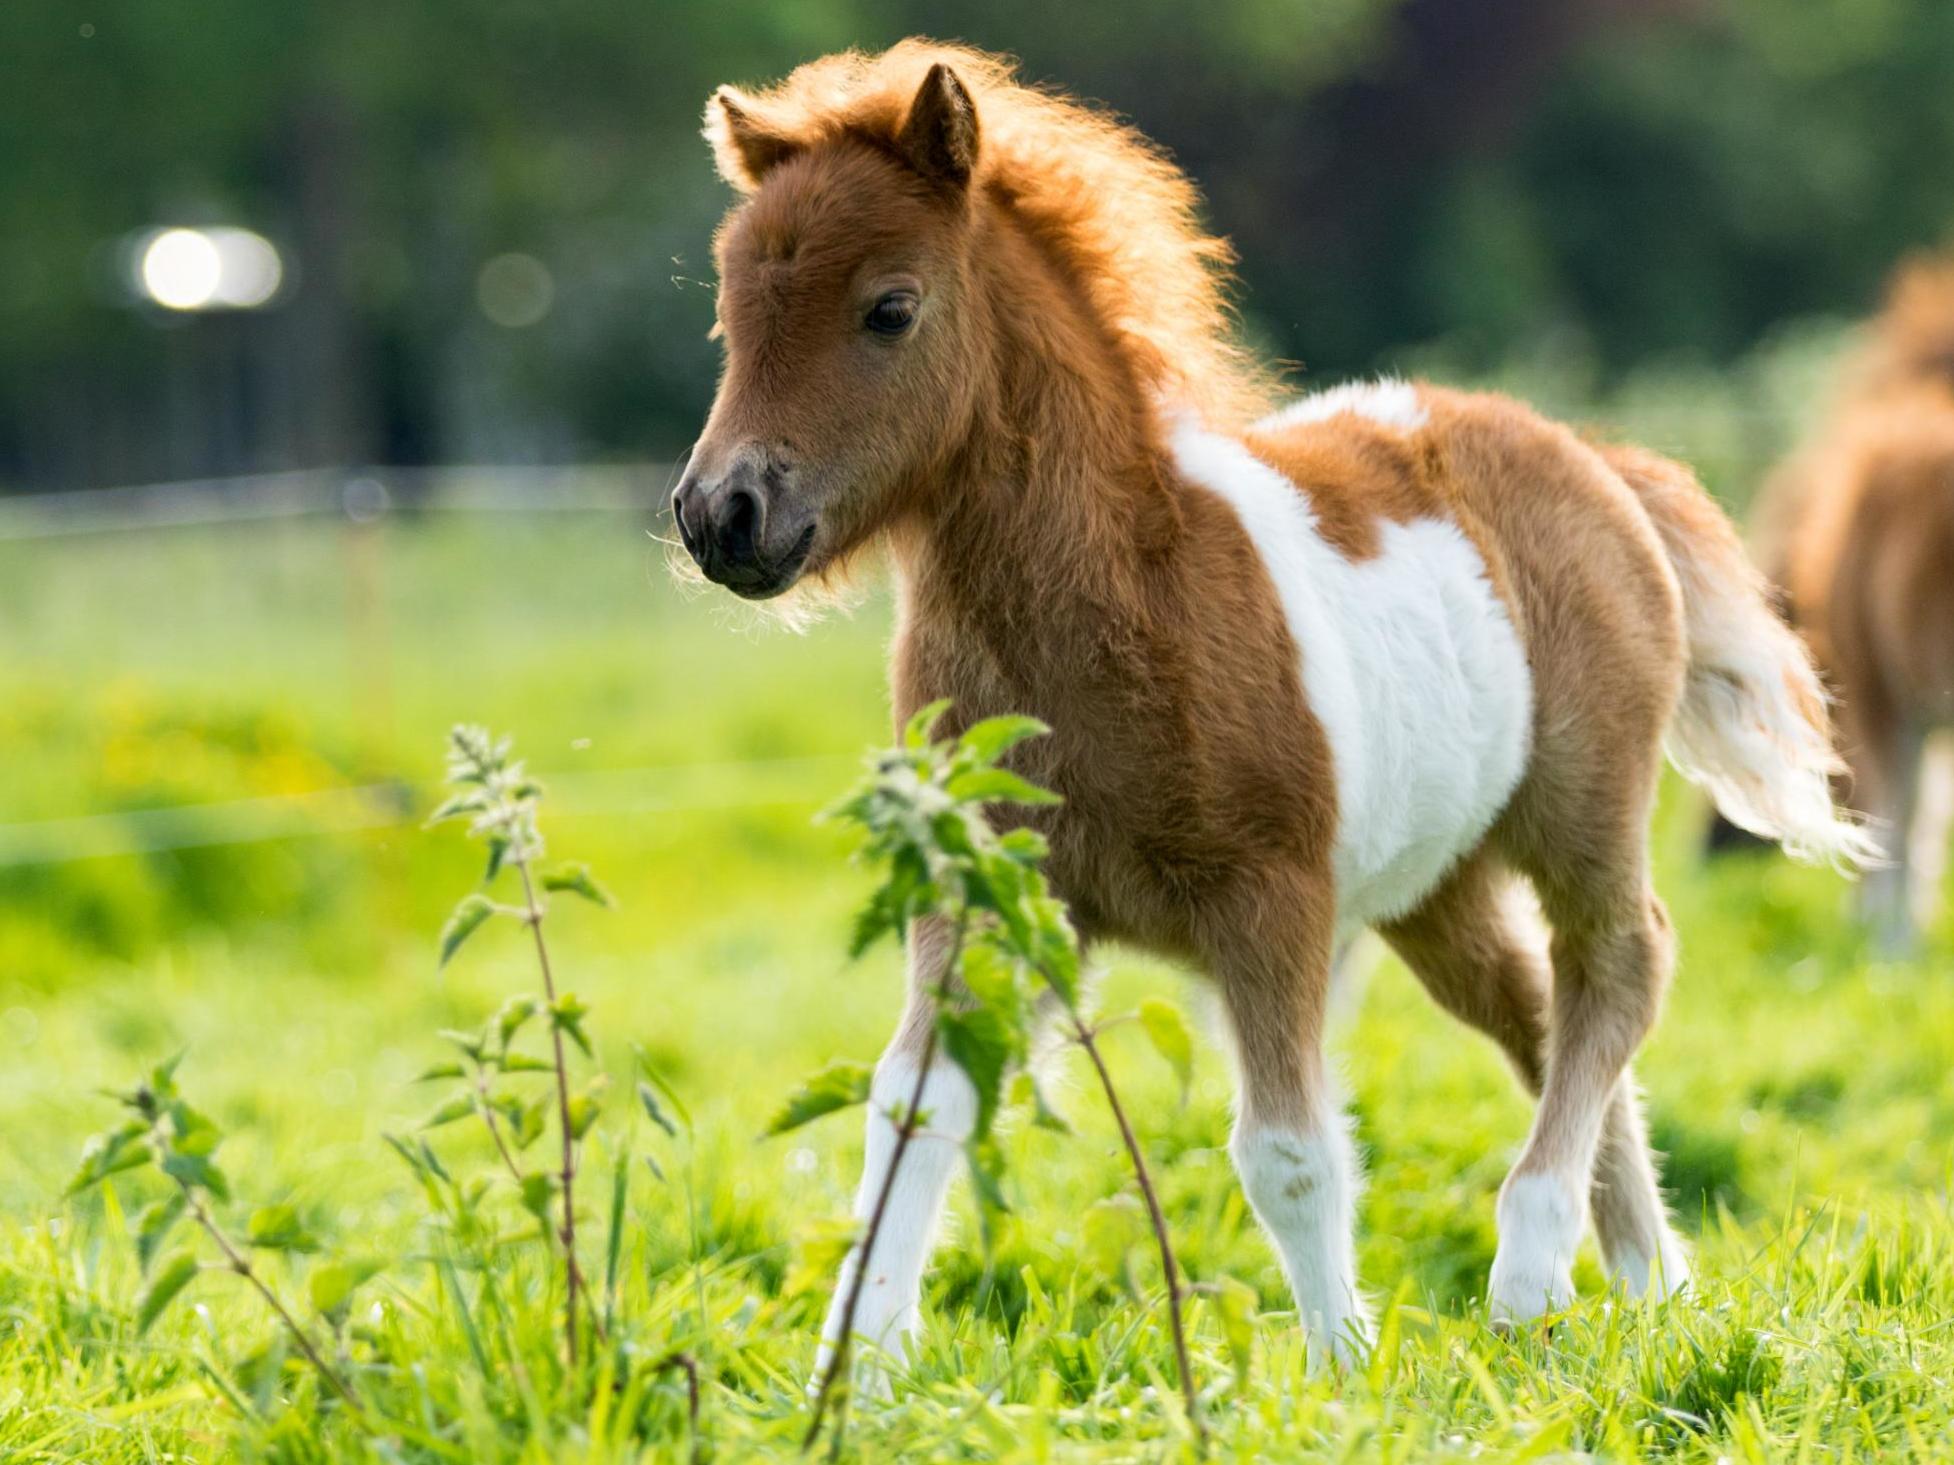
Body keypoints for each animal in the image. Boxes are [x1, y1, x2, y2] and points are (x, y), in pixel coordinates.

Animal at [676, 42, 1875, 1375]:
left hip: (1580, 807)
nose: (722, 516)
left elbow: (1288, 1153)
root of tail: (1592, 457)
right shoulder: (987, 890)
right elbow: (915, 1108)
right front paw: (858, 1369)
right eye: (731, 311)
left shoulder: (1271, 900)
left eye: (889, 307)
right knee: (1535, 1009)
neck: (1123, 598)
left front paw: (1340, 1370)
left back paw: (1527, 1271)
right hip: (1432, 886)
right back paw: (1654, 1285)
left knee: (1618, 965)